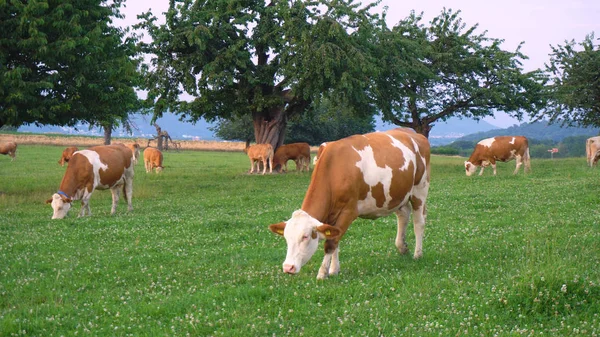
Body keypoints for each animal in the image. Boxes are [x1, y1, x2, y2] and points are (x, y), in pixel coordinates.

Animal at [268, 129, 432, 278]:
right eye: (286, 238)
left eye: (305, 237)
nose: (288, 267)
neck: (333, 169)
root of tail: (414, 133)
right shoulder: (331, 216)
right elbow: (335, 239)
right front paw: (334, 269)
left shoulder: (349, 212)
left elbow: (331, 243)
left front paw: (322, 273)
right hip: (397, 194)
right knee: (403, 215)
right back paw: (402, 247)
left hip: (420, 190)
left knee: (419, 222)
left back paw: (418, 254)